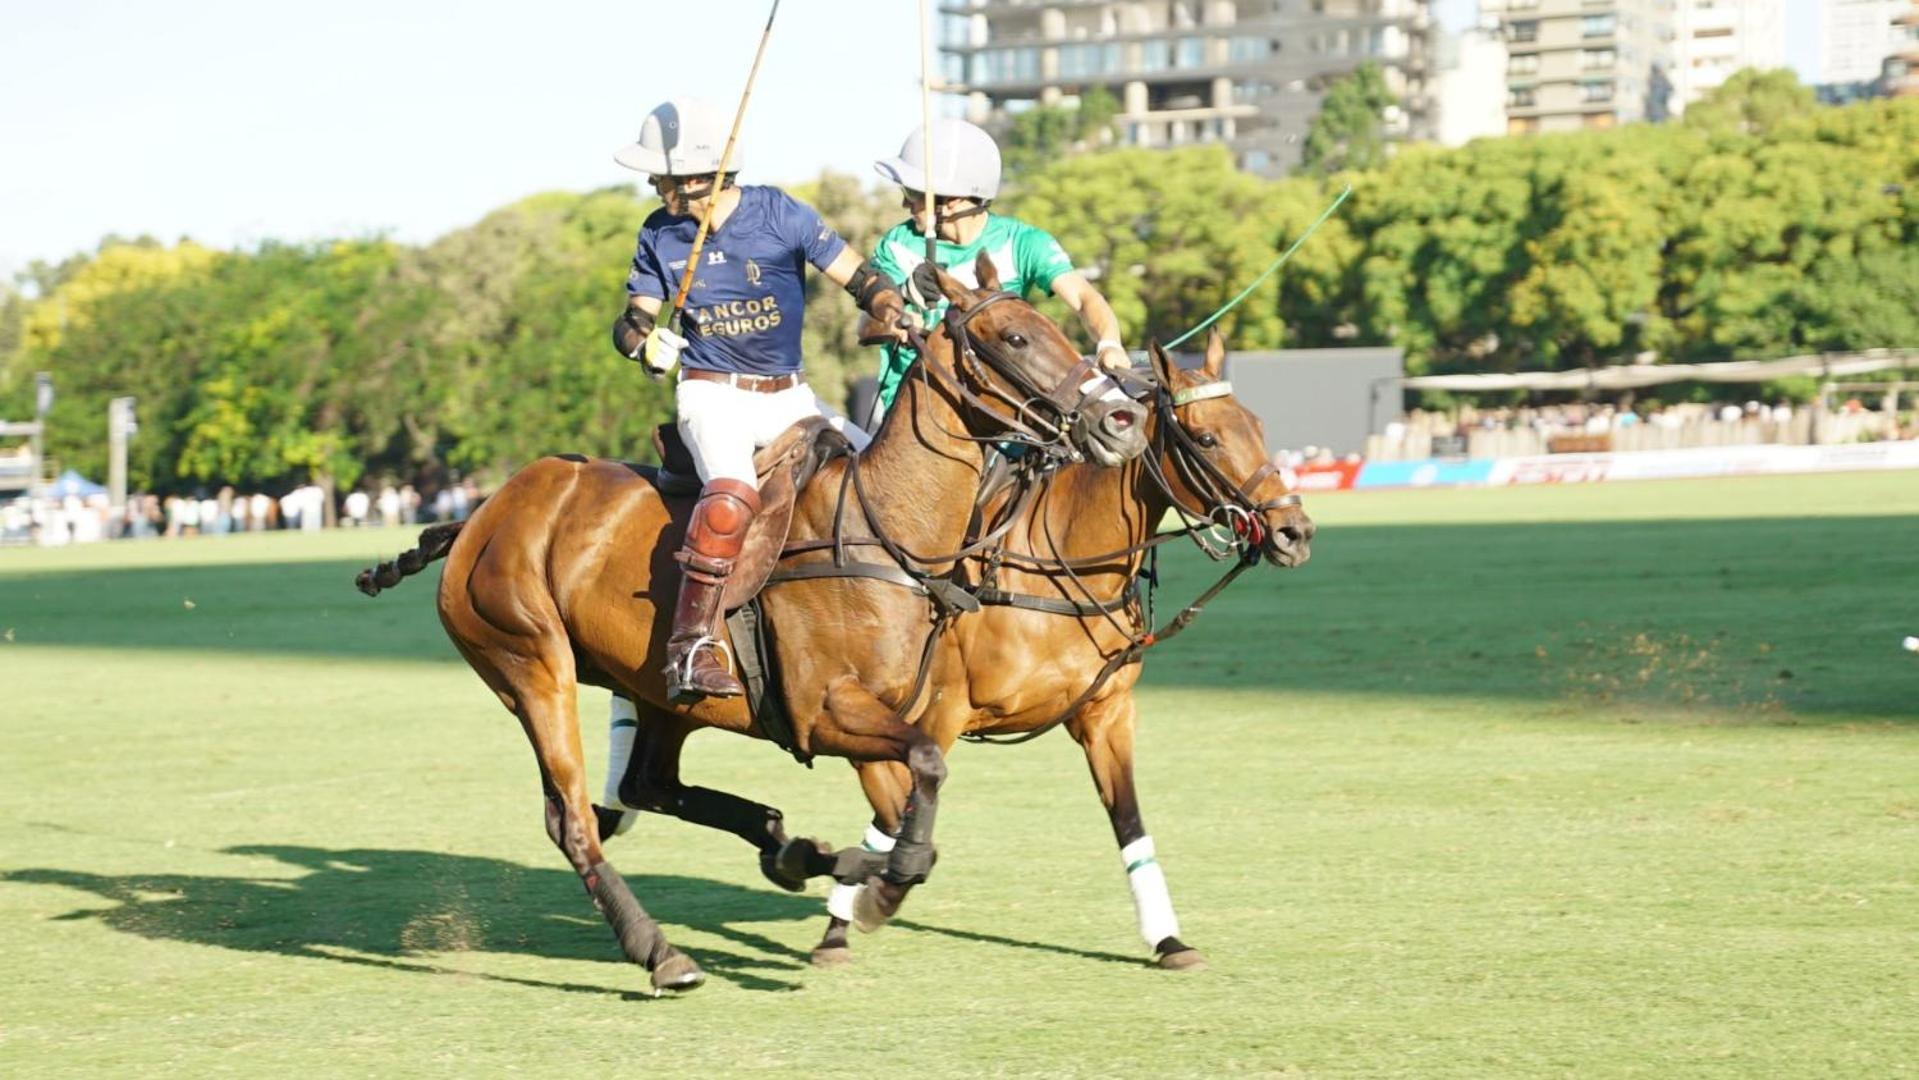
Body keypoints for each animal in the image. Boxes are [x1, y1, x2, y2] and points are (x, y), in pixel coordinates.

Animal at [356, 264, 1136, 997]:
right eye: (1013, 337)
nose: (1120, 417)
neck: (886, 526)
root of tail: (478, 516)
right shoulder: (825, 711)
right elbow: (926, 775)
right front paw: (878, 889)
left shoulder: (892, 712)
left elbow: (912, 808)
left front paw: (851, 873)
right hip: (529, 663)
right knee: (571, 816)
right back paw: (661, 952)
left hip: (660, 691)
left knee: (648, 785)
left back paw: (785, 847)